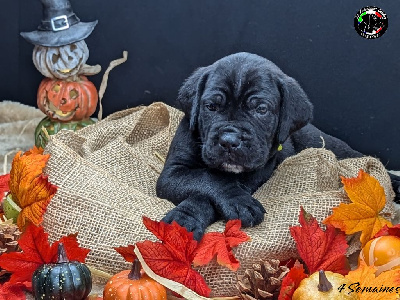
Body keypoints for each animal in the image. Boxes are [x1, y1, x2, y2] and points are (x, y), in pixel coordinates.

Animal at [156, 51, 400, 239]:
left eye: (261, 109)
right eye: (210, 107)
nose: (229, 141)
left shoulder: (251, 175)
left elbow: (210, 187)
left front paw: (188, 217)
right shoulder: (172, 174)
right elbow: (209, 179)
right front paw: (184, 220)